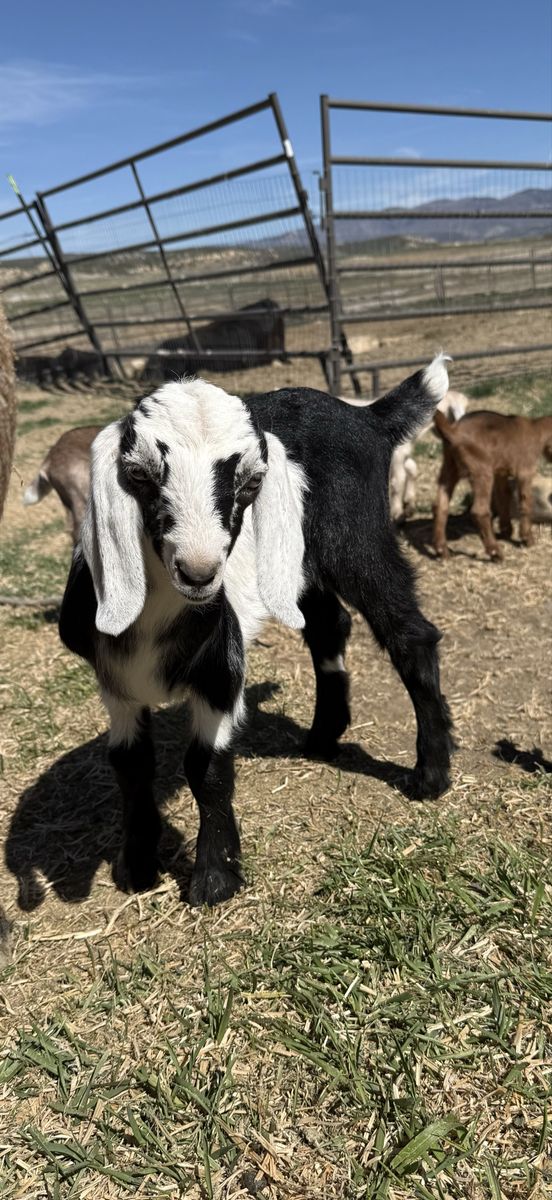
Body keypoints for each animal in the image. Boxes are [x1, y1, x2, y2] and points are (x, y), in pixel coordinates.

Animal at [59, 357, 454, 907]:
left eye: (250, 484)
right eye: (137, 474)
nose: (200, 573)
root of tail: (367, 418)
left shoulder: (222, 671)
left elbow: (207, 767)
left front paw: (214, 878)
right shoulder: (115, 681)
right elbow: (130, 765)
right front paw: (136, 866)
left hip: (356, 537)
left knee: (409, 634)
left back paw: (430, 775)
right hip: (295, 563)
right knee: (328, 624)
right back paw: (323, 736)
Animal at [389, 389, 469, 522]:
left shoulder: (403, 455)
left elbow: (412, 469)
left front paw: (408, 505)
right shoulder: (396, 457)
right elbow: (397, 482)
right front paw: (397, 514)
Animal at [433, 409, 552, 559]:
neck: (535, 429)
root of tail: (453, 430)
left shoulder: (501, 475)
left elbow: (503, 499)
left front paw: (506, 531)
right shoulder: (525, 473)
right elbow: (525, 503)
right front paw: (527, 538)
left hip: (449, 469)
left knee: (440, 506)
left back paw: (442, 550)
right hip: (482, 473)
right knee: (479, 511)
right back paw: (495, 552)